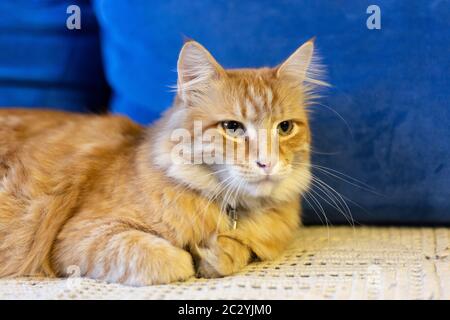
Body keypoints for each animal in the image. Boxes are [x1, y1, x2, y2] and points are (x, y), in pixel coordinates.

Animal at [0, 38, 324, 286]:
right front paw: (194, 255)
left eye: (285, 128)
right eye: (232, 127)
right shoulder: (81, 236)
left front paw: (215, 253)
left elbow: (235, 252)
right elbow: (172, 259)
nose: (266, 163)